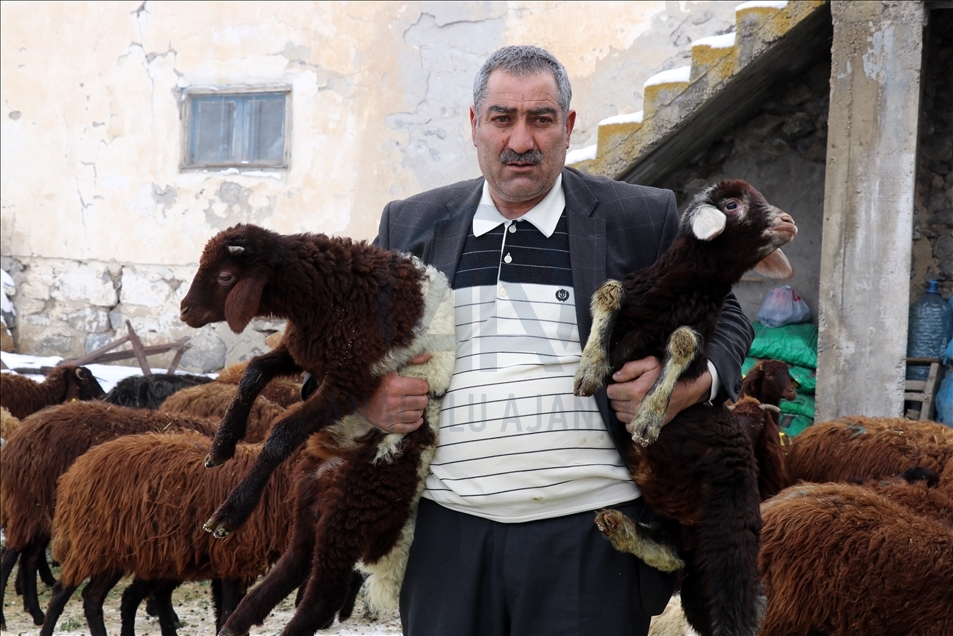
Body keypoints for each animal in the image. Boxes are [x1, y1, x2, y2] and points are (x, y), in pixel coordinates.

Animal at [0, 400, 218, 628]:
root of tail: (17, 435)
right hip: (29, 507)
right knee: (10, 556)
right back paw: (7, 619)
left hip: (42, 514)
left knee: (29, 557)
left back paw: (36, 613)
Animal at [180, 222, 460, 632]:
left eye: (226, 276)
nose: (184, 311)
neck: (329, 292)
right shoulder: (307, 350)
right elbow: (254, 373)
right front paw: (221, 445)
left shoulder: (349, 380)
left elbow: (282, 433)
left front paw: (230, 514)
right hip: (310, 492)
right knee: (298, 560)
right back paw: (237, 621)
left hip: (355, 503)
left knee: (324, 593)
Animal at [572, 179, 796, 636]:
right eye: (732, 204)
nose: (790, 222)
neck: (681, 290)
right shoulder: (631, 303)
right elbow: (610, 291)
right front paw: (589, 369)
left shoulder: (698, 346)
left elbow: (684, 341)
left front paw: (648, 418)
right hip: (691, 565)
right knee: (672, 556)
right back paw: (622, 529)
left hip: (729, 552)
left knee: (730, 615)